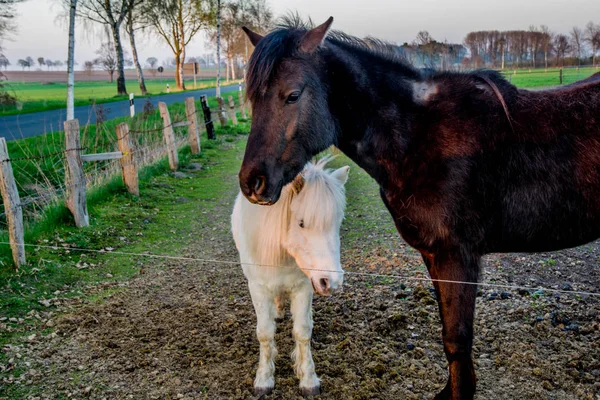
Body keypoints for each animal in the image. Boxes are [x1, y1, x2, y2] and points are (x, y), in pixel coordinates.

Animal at [232, 159, 350, 396]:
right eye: (302, 223)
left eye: (338, 223)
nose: (331, 282)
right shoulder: (258, 288)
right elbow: (265, 333)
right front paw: (264, 379)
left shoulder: (304, 287)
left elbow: (303, 332)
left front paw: (308, 380)